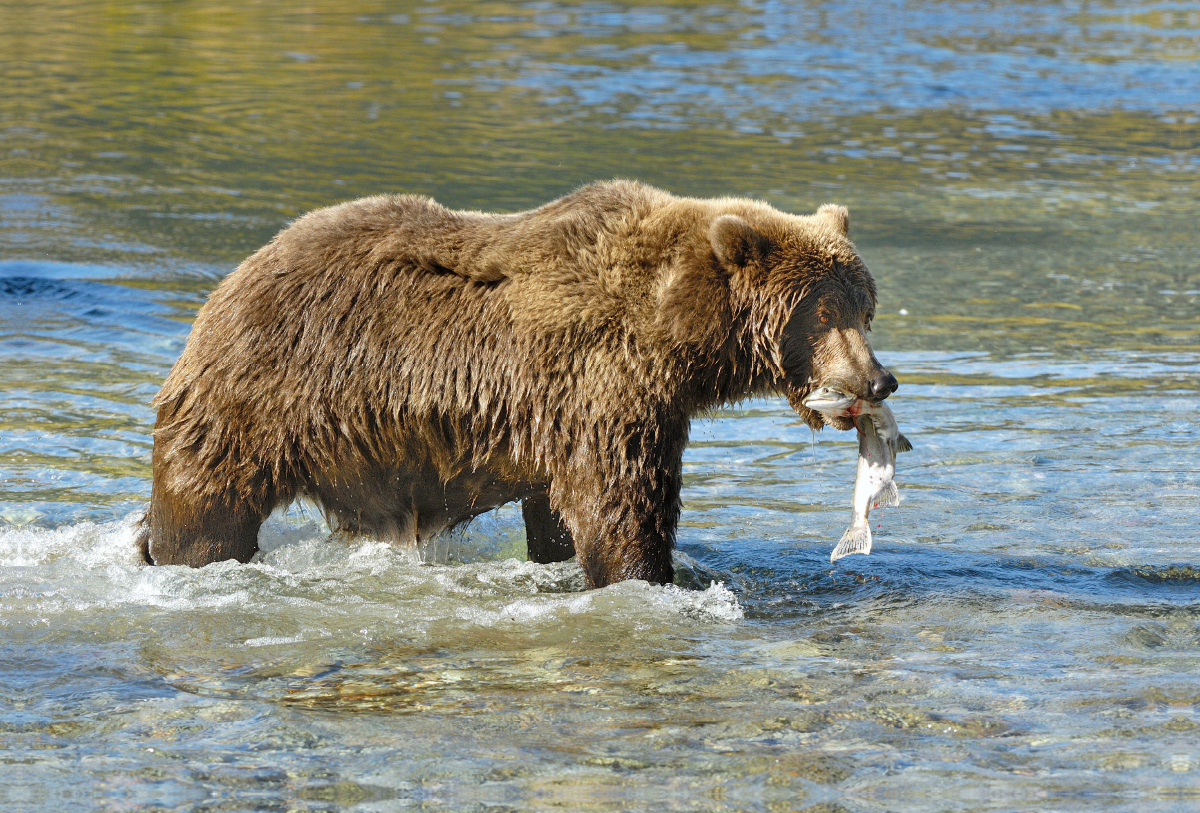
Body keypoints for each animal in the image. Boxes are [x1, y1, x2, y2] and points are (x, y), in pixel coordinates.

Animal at [142, 181, 892, 589]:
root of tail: (227, 285)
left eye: (865, 308)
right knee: (204, 510)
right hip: (261, 399)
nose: (878, 379)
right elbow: (621, 507)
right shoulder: (603, 381)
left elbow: (558, 512)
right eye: (823, 312)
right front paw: (647, 576)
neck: (672, 330)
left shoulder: (575, 412)